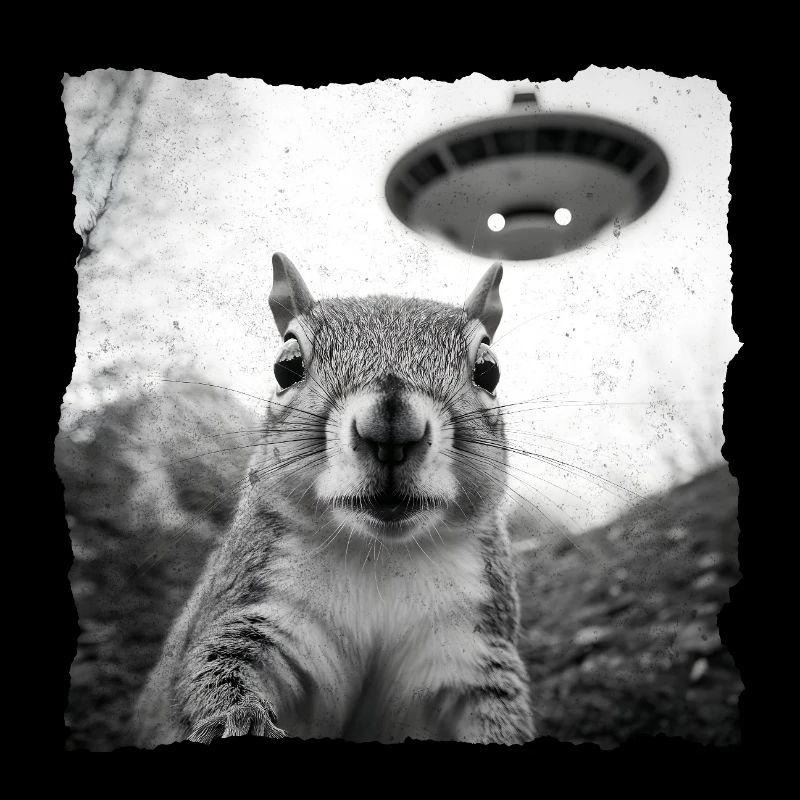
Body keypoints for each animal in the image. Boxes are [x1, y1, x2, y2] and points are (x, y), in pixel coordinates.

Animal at [133, 252, 535, 746]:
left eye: (488, 370)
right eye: (286, 365)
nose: (391, 427)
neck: (382, 555)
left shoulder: (470, 650)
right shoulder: (260, 609)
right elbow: (217, 668)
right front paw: (239, 721)